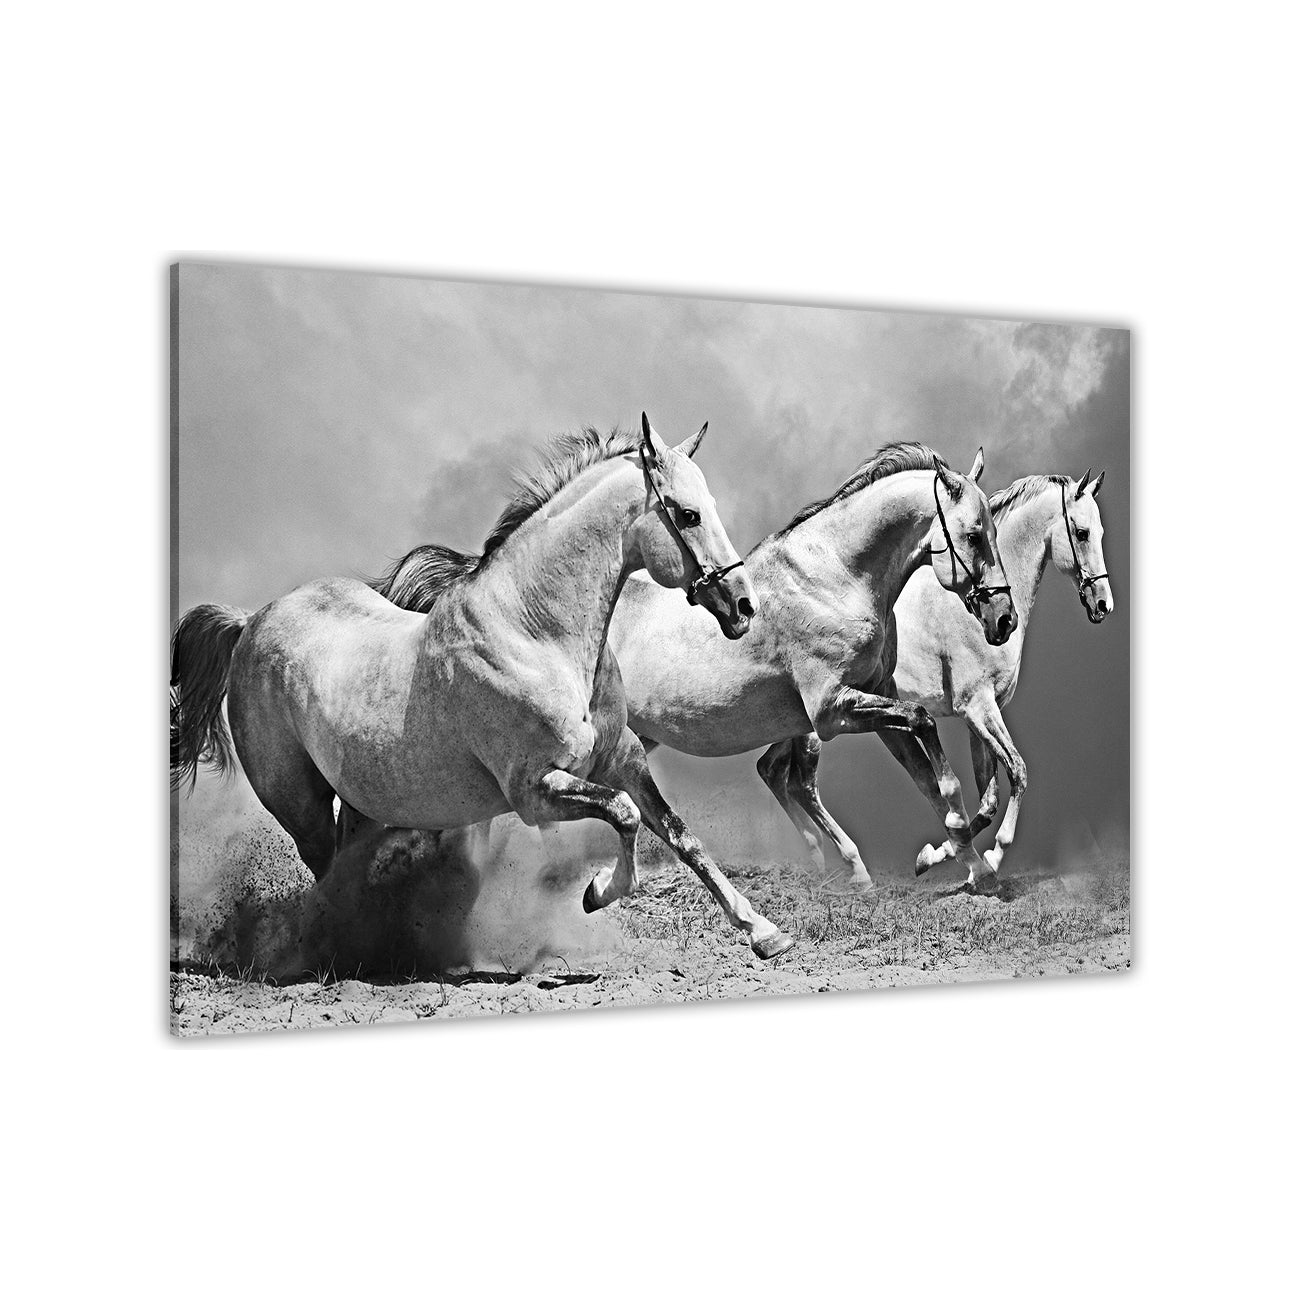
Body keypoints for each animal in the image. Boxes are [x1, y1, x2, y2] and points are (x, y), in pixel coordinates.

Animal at [171, 416, 797, 960]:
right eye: (688, 515)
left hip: (361, 802)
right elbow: (624, 816)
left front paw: (765, 933)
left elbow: (679, 834)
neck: (536, 634)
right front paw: (597, 892)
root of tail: (251, 622)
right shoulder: (534, 790)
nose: (744, 606)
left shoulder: (624, 760)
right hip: (300, 806)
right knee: (325, 874)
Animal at [380, 443, 1017, 889]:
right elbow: (927, 735)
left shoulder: (872, 699)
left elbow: (932, 772)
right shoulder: (834, 711)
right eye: (974, 534)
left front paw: (966, 860)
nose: (1004, 618)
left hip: (629, 741)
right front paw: (953, 848)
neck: (835, 577)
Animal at [761, 470, 1113, 882]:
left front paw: (944, 856)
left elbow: (989, 799)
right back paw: (850, 863)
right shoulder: (978, 708)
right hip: (818, 727)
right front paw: (988, 856)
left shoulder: (979, 716)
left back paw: (817, 857)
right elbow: (1017, 772)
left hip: (794, 724)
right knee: (802, 784)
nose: (1103, 604)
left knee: (771, 770)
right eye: (1082, 532)